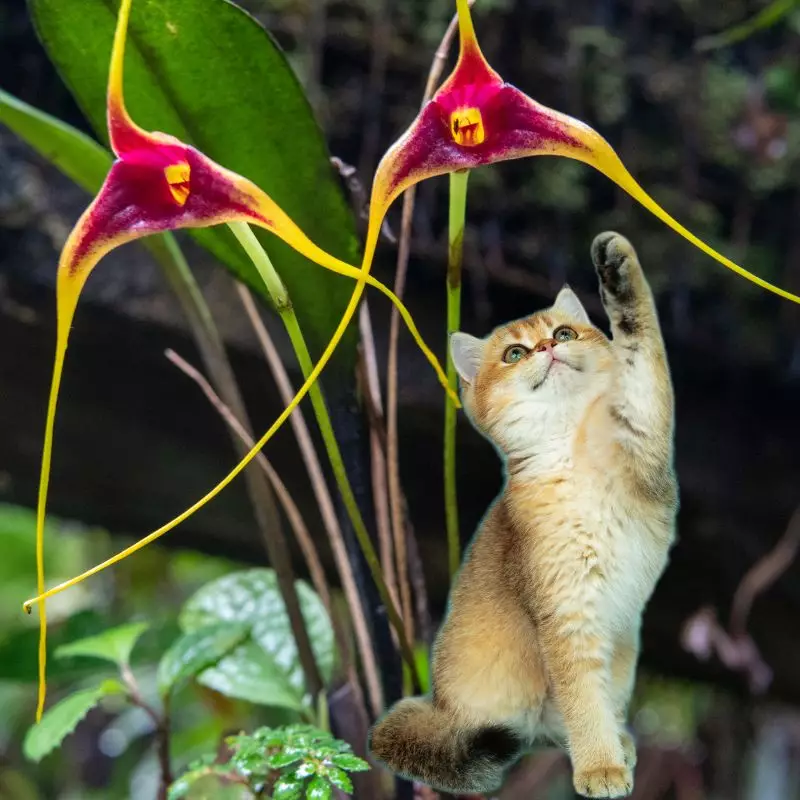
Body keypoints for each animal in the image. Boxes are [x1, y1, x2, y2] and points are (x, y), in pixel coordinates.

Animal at [368, 233, 676, 800]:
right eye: (514, 354)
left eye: (563, 332)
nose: (548, 348)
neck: (574, 449)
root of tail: (439, 707)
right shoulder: (565, 612)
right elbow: (583, 700)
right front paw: (599, 768)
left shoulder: (644, 436)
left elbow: (644, 353)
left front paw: (618, 266)